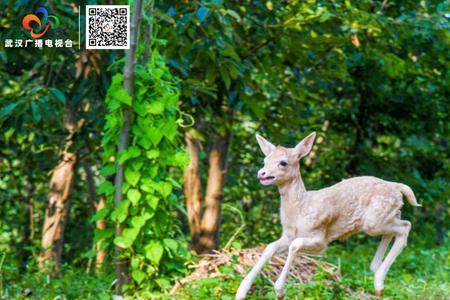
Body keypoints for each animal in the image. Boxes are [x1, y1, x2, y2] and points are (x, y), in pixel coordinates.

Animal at [237, 132, 420, 298]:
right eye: (265, 160)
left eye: (283, 162)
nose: (261, 173)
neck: (300, 210)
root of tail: (397, 187)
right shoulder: (288, 234)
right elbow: (270, 247)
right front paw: (241, 292)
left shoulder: (320, 238)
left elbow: (295, 245)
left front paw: (280, 290)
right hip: (381, 218)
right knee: (396, 227)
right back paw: (376, 274)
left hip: (375, 220)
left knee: (405, 226)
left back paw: (379, 281)